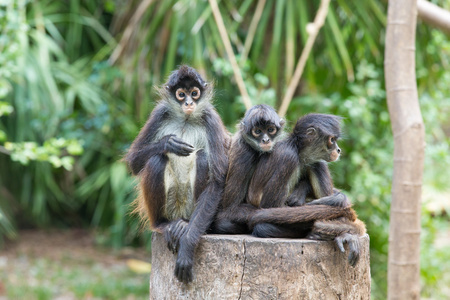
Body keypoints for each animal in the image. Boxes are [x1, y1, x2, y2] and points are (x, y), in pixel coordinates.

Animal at [125, 64, 230, 282]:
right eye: (181, 94)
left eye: (194, 93)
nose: (189, 102)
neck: (186, 119)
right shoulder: (159, 112)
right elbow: (133, 162)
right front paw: (167, 144)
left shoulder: (211, 117)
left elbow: (217, 182)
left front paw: (187, 249)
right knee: (156, 160)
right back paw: (163, 224)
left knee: (203, 158)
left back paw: (186, 225)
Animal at [250, 113, 366, 266]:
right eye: (332, 140)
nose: (338, 150)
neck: (297, 149)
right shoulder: (288, 157)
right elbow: (270, 206)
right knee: (263, 227)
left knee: (317, 163)